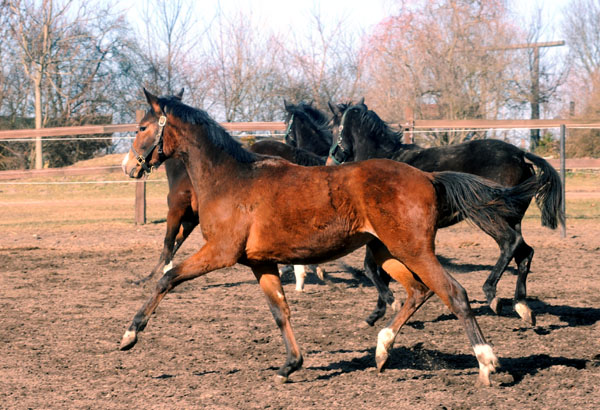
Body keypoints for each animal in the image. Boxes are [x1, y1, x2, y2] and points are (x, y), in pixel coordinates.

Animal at [119, 88, 536, 386]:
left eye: (141, 128)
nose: (128, 167)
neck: (230, 179)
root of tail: (429, 178)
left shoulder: (219, 252)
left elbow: (167, 278)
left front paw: (129, 335)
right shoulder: (260, 263)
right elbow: (280, 311)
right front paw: (290, 365)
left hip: (413, 249)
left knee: (455, 292)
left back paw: (488, 361)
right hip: (387, 252)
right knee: (419, 291)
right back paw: (382, 350)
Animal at [326, 103, 564, 326]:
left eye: (333, 126)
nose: (329, 162)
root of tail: (520, 154)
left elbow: (371, 268)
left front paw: (389, 304)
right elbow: (383, 269)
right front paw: (376, 314)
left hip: (486, 215)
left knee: (510, 242)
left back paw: (492, 294)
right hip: (512, 218)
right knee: (525, 252)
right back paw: (522, 307)